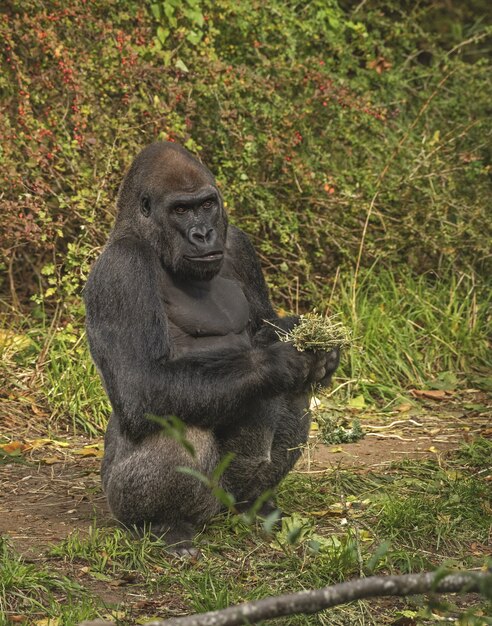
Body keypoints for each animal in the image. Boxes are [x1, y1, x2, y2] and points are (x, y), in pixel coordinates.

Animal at [83, 141, 338, 552]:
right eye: (180, 210)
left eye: (206, 205)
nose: (202, 234)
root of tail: (218, 513)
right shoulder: (122, 271)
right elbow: (142, 383)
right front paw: (279, 362)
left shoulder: (238, 244)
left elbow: (263, 325)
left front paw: (312, 343)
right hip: (128, 500)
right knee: (175, 420)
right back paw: (166, 526)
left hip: (229, 496)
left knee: (293, 397)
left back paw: (257, 505)